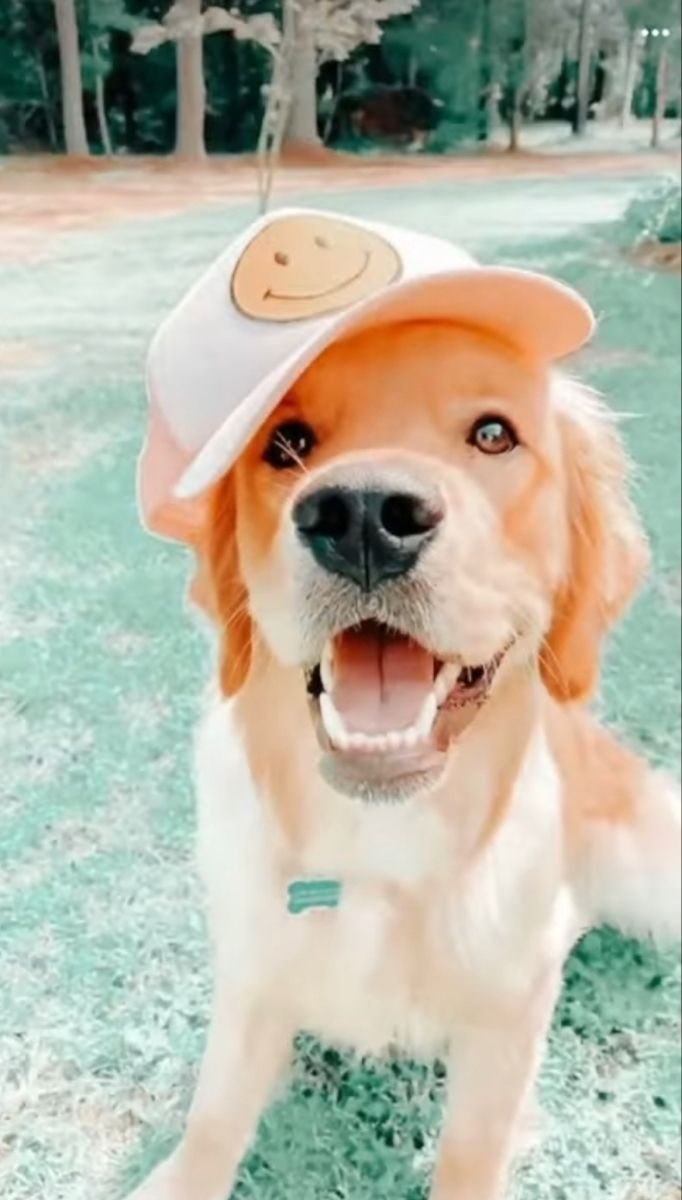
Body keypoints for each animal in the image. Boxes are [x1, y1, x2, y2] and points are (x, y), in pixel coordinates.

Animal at [129, 213, 682, 1200]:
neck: (379, 844)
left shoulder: (506, 1019)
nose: (360, 516)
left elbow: (472, 1149)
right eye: (285, 444)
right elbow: (214, 1112)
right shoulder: (252, 975)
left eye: (495, 434)